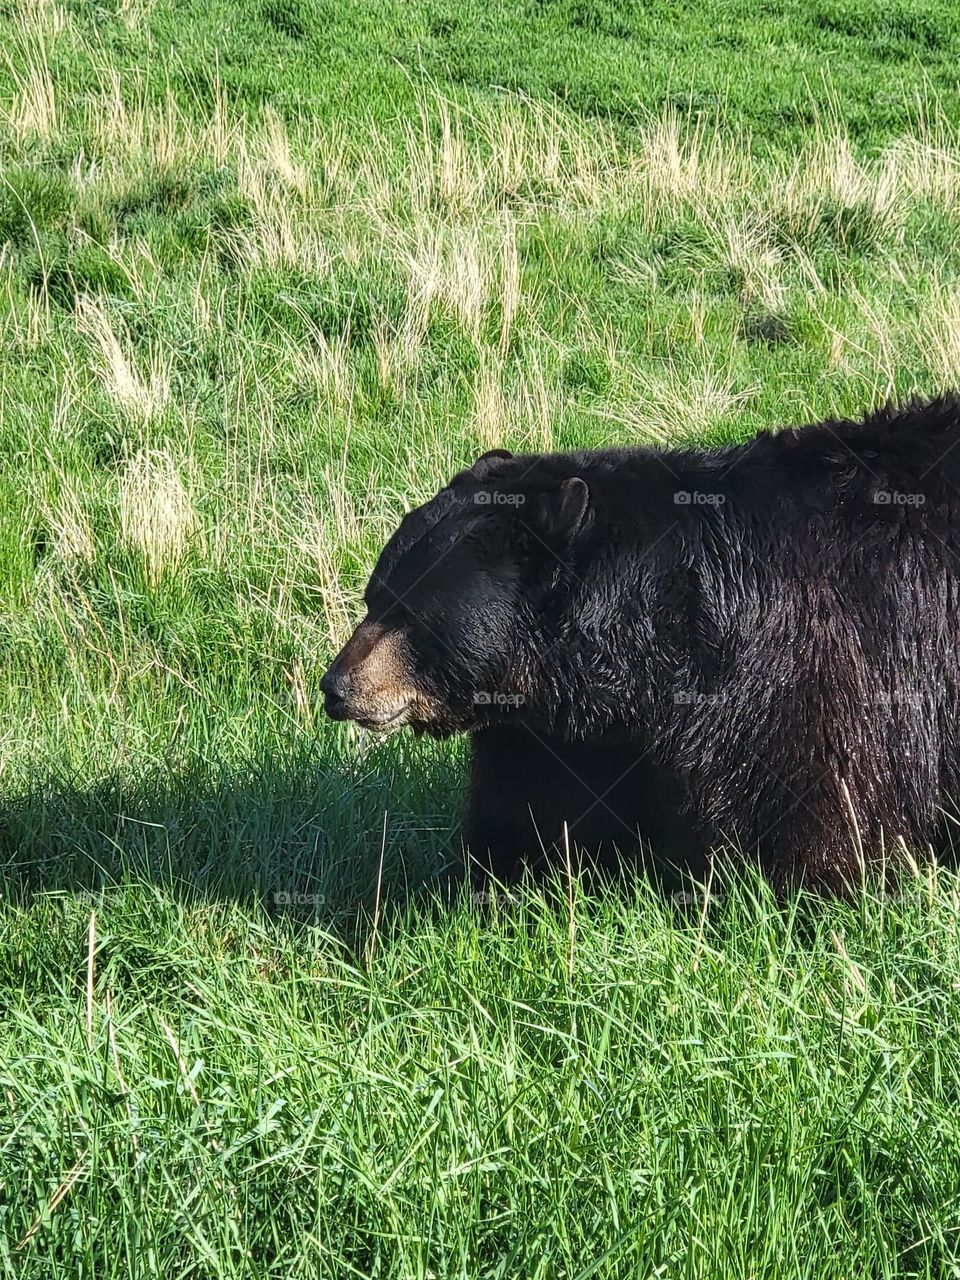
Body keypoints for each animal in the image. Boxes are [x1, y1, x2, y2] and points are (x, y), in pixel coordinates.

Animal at [321, 395, 960, 894]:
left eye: (412, 615)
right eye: (374, 596)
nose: (336, 687)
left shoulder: (800, 672)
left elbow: (813, 804)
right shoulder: (554, 731)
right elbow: (530, 810)